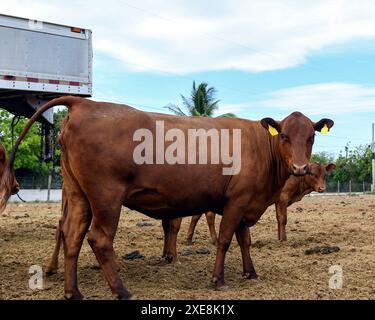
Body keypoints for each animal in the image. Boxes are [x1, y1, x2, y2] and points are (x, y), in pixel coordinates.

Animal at [163, 162, 336, 260]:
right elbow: (283, 219)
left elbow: (278, 219)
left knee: (197, 216)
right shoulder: (282, 198)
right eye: (312, 173)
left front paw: (279, 237)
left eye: (325, 174)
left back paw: (190, 239)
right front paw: (283, 239)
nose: (322, 188)